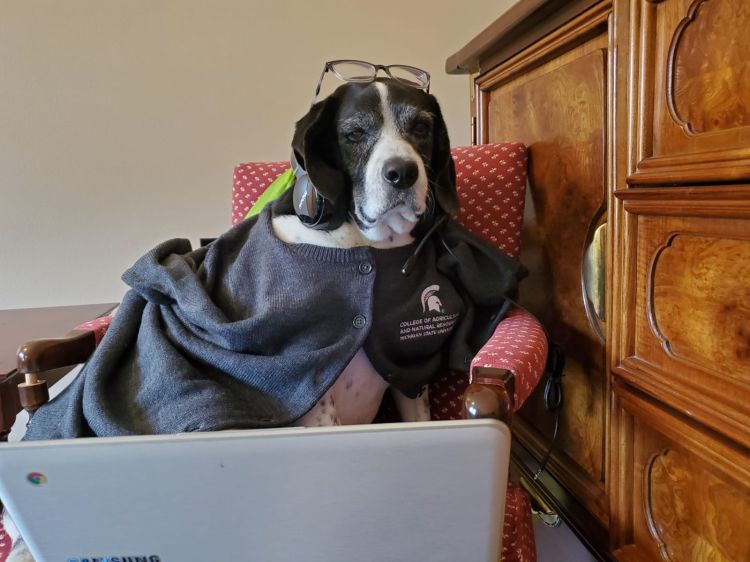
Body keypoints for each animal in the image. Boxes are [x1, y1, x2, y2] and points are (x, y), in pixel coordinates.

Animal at [4, 76, 458, 556]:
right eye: (354, 133)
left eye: (422, 127)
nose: (402, 173)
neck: (358, 243)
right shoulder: (315, 400)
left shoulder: (409, 381)